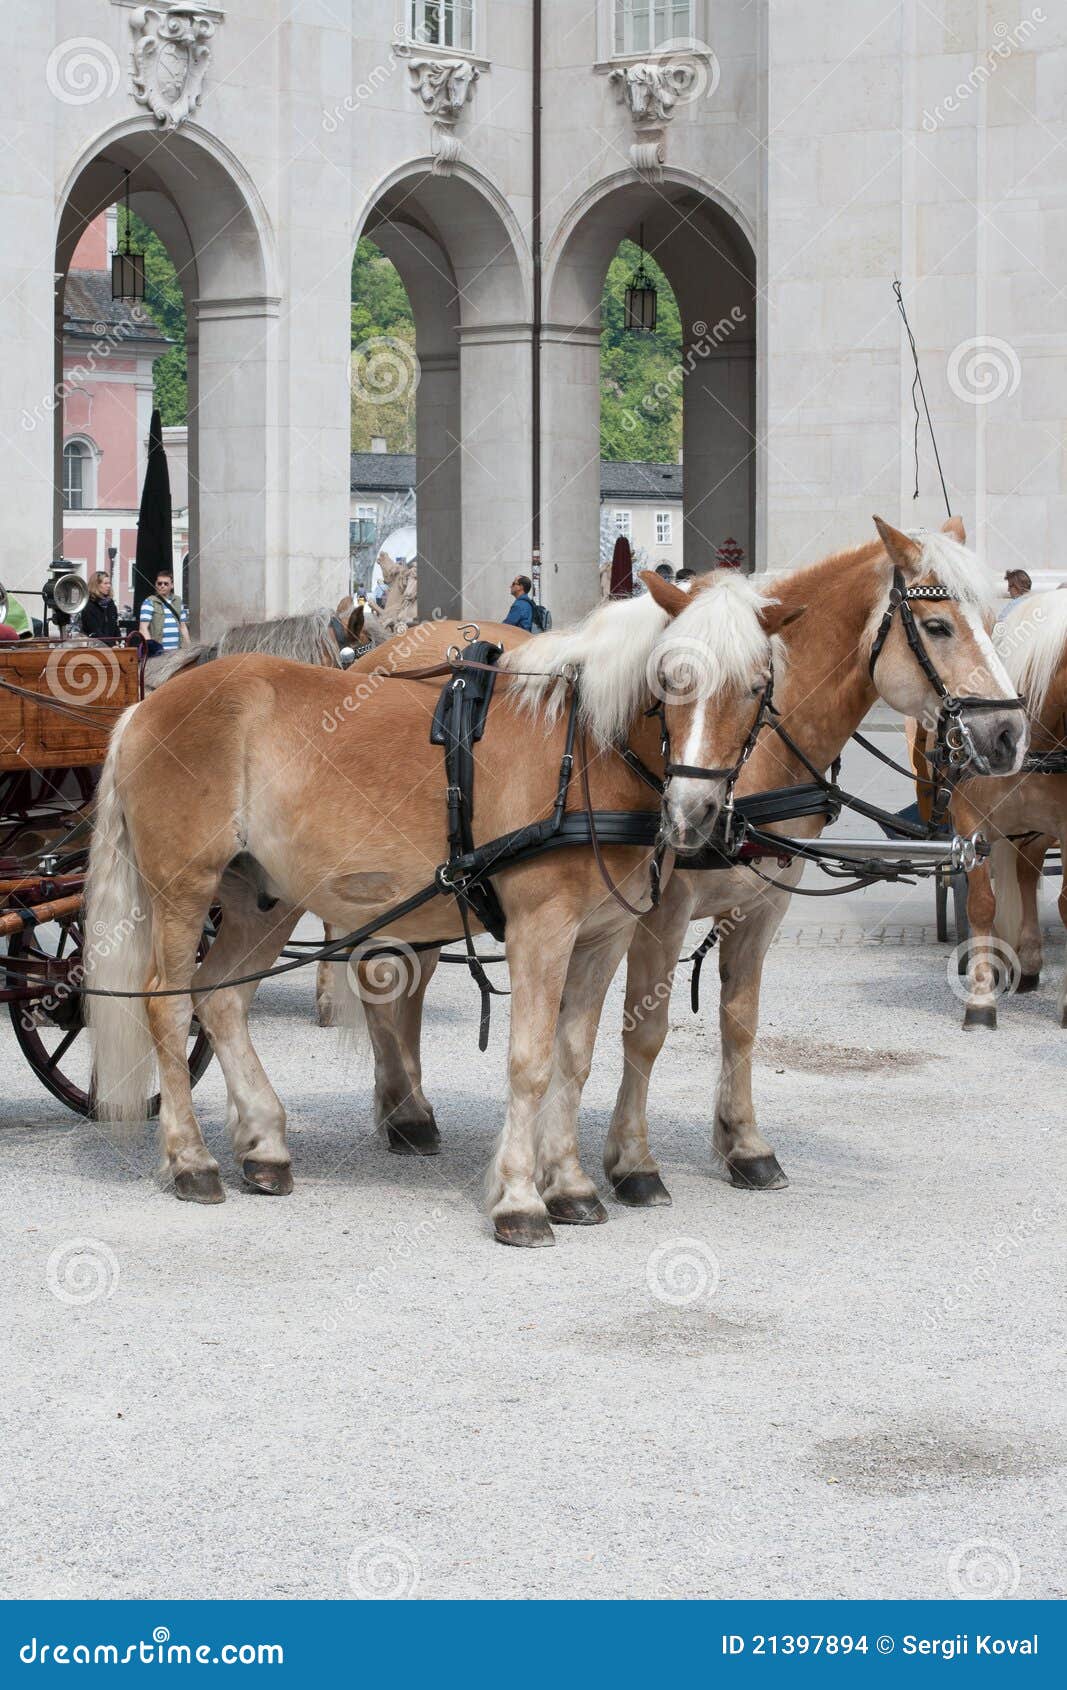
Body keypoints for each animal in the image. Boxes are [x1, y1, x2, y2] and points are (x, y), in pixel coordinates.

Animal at [84, 569, 796, 1246]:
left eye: (757, 686)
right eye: (670, 679)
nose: (693, 812)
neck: (587, 753)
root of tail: (148, 706)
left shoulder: (604, 934)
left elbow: (574, 1058)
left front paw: (569, 1184)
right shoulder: (542, 928)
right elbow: (531, 1063)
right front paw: (520, 1199)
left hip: (266, 899)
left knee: (223, 999)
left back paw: (263, 1143)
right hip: (183, 892)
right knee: (168, 1005)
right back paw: (191, 1160)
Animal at [355, 518, 1028, 1205]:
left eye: (992, 618)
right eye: (939, 625)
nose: (1008, 735)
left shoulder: (763, 904)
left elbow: (741, 1023)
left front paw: (744, 1143)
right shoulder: (661, 910)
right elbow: (645, 1031)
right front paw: (632, 1161)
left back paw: (404, 1104)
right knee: (386, 977)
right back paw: (406, 1110)